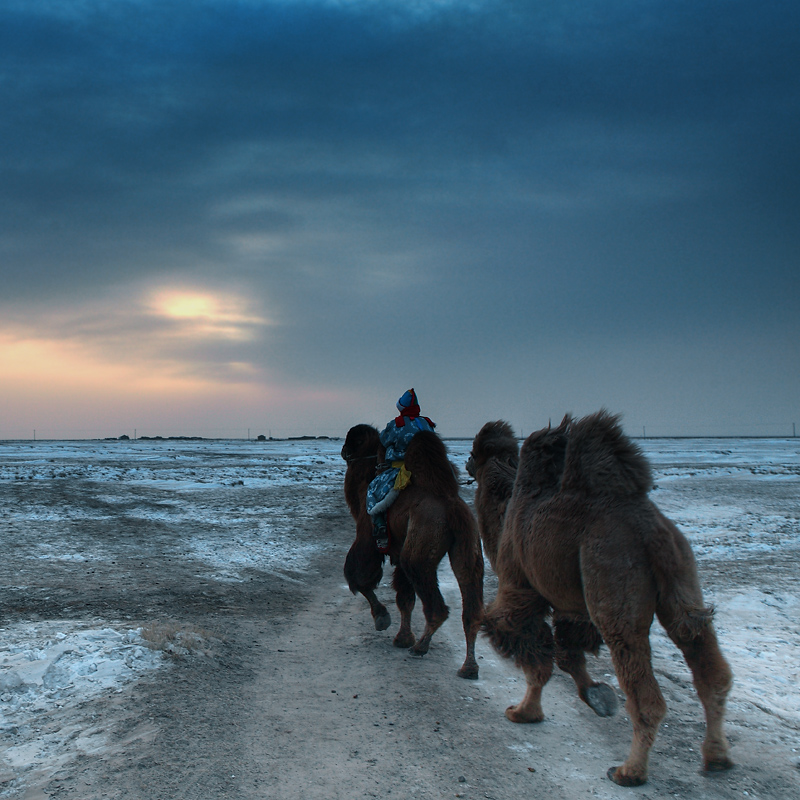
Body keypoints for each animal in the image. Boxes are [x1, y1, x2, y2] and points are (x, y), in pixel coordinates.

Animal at [342, 422, 484, 680]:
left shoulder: (367, 536)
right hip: (468, 547)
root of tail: (452, 508)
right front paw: (402, 638)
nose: (343, 450)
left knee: (435, 602)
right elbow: (405, 598)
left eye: (353, 441)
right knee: (471, 607)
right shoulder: (399, 551)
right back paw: (469, 667)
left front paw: (382, 619)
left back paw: (421, 646)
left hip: (420, 552)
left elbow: (360, 577)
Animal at [472, 410, 736, 784]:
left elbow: (535, 652)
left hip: (612, 580)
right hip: (681, 579)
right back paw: (716, 757)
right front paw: (596, 696)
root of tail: (650, 532)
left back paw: (629, 771)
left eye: (474, 453)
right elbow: (569, 653)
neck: (507, 505)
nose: (466, 465)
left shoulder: (521, 588)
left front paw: (523, 712)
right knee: (706, 661)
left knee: (642, 686)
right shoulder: (571, 604)